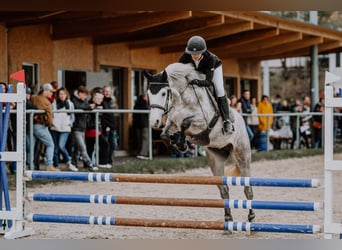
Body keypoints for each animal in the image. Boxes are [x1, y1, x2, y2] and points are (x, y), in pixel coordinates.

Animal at [146, 62, 255, 223]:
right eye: (148, 94)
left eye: (164, 93)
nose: (154, 122)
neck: (182, 100)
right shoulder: (171, 122)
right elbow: (165, 135)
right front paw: (177, 147)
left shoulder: (203, 122)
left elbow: (185, 123)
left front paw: (181, 144)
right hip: (215, 159)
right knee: (224, 190)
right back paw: (228, 218)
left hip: (242, 155)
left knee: (247, 188)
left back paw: (251, 216)